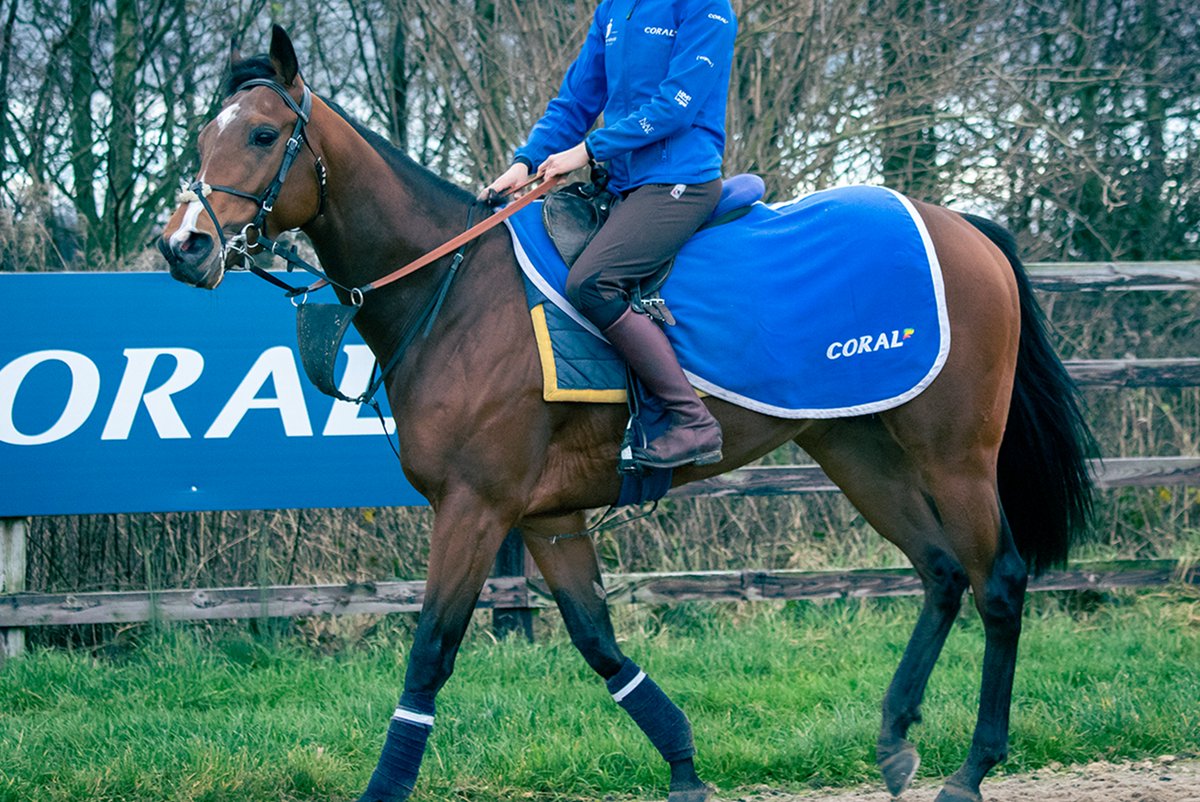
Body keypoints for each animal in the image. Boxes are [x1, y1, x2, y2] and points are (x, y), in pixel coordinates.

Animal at [159, 28, 1099, 802]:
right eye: (206, 134)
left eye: (263, 134)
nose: (183, 246)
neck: (454, 291)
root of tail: (964, 227)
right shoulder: (546, 517)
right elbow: (600, 645)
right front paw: (684, 767)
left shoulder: (475, 507)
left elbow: (430, 651)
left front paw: (383, 788)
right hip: (859, 448)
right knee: (941, 572)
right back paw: (897, 737)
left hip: (954, 453)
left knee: (999, 580)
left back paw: (972, 770)